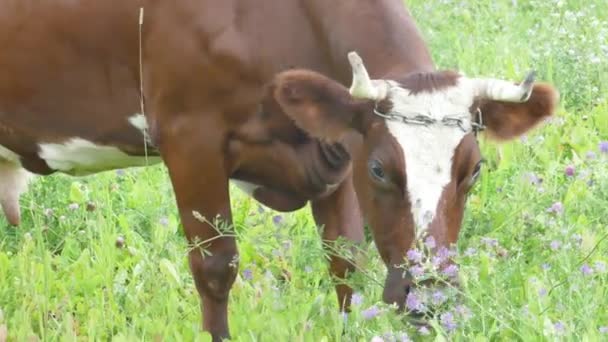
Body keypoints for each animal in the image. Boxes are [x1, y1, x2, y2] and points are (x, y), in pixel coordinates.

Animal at [0, 0, 560, 340]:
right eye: (380, 169)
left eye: (474, 169)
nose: (430, 295)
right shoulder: (190, 138)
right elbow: (215, 267)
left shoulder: (334, 150)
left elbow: (345, 261)